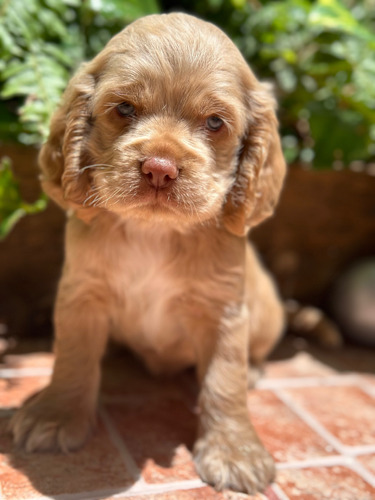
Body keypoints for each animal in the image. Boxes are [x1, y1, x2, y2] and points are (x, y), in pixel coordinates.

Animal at [11, 12, 288, 496]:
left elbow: (224, 381)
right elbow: (73, 357)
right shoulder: (82, 294)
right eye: (124, 109)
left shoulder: (223, 311)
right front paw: (56, 416)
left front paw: (234, 451)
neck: (154, 232)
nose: (160, 168)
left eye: (215, 123)